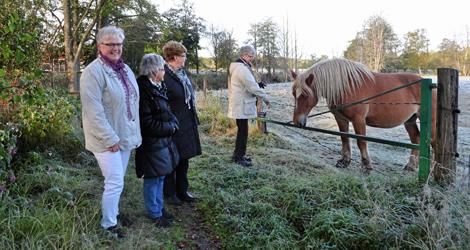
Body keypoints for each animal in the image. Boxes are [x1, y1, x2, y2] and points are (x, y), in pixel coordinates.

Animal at [290, 58, 436, 171]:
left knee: (434, 143)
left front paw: (366, 165)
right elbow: (344, 138)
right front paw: (344, 161)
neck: (347, 86)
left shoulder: (358, 120)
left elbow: (361, 142)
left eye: (305, 95)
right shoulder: (341, 119)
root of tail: (429, 83)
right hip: (410, 120)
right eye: (293, 94)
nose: (297, 122)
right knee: (416, 139)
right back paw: (411, 165)